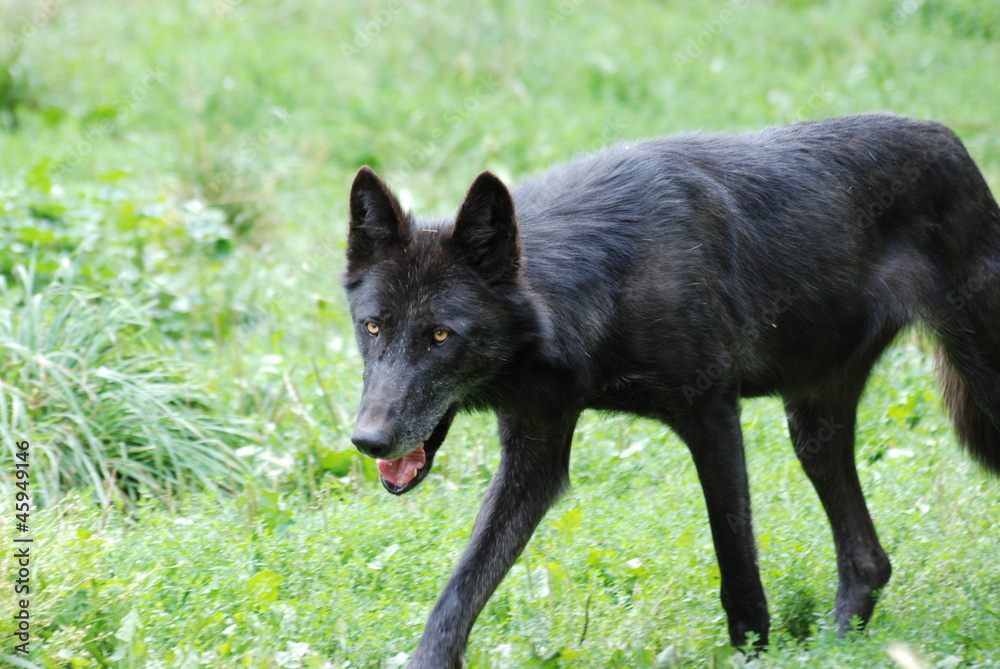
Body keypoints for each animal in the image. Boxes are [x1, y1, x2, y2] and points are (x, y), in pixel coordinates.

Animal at [342, 113, 1000, 667]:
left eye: (440, 335)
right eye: (372, 327)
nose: (367, 440)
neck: (601, 281)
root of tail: (953, 143)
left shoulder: (713, 418)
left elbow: (737, 569)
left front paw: (754, 655)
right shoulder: (534, 458)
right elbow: (459, 591)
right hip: (811, 429)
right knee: (867, 562)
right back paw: (837, 648)